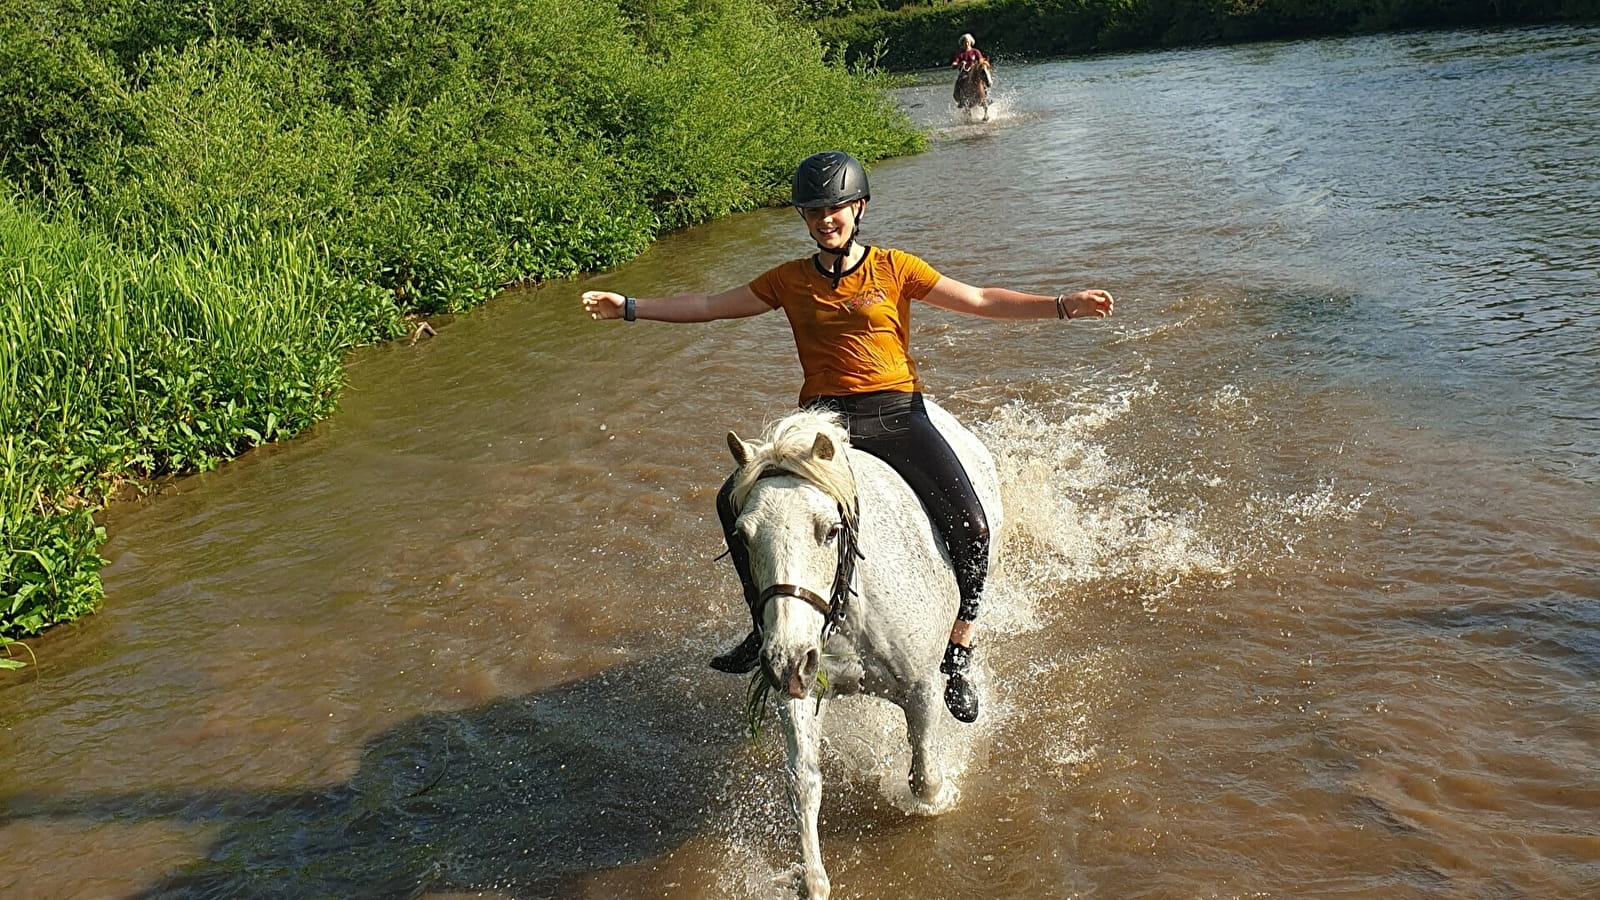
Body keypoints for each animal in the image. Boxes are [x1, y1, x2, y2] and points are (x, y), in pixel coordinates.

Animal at [723, 400, 998, 896]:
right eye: (743, 537)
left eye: (830, 531)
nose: (786, 660)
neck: (849, 601)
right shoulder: (802, 691)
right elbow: (803, 784)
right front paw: (811, 880)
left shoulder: (922, 690)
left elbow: (925, 778)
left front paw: (943, 793)